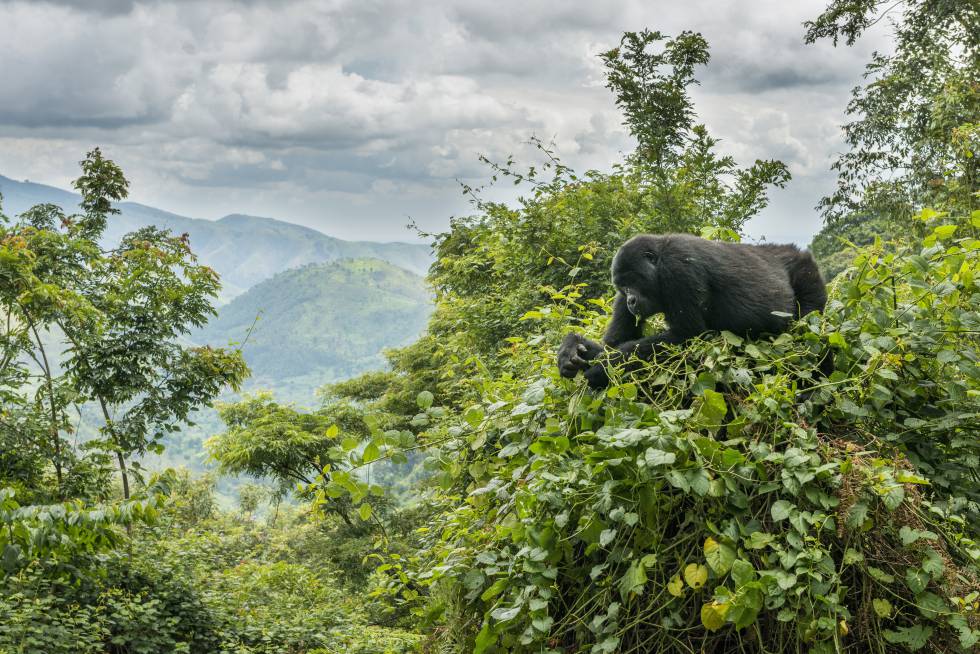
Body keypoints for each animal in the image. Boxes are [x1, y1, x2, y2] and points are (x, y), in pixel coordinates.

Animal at [560, 234, 828, 390]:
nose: (631, 301)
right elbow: (615, 342)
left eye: (632, 281)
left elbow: (687, 336)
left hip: (807, 274)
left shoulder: (678, 268)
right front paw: (571, 348)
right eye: (622, 287)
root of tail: (799, 252)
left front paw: (603, 367)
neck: (659, 259)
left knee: (810, 337)